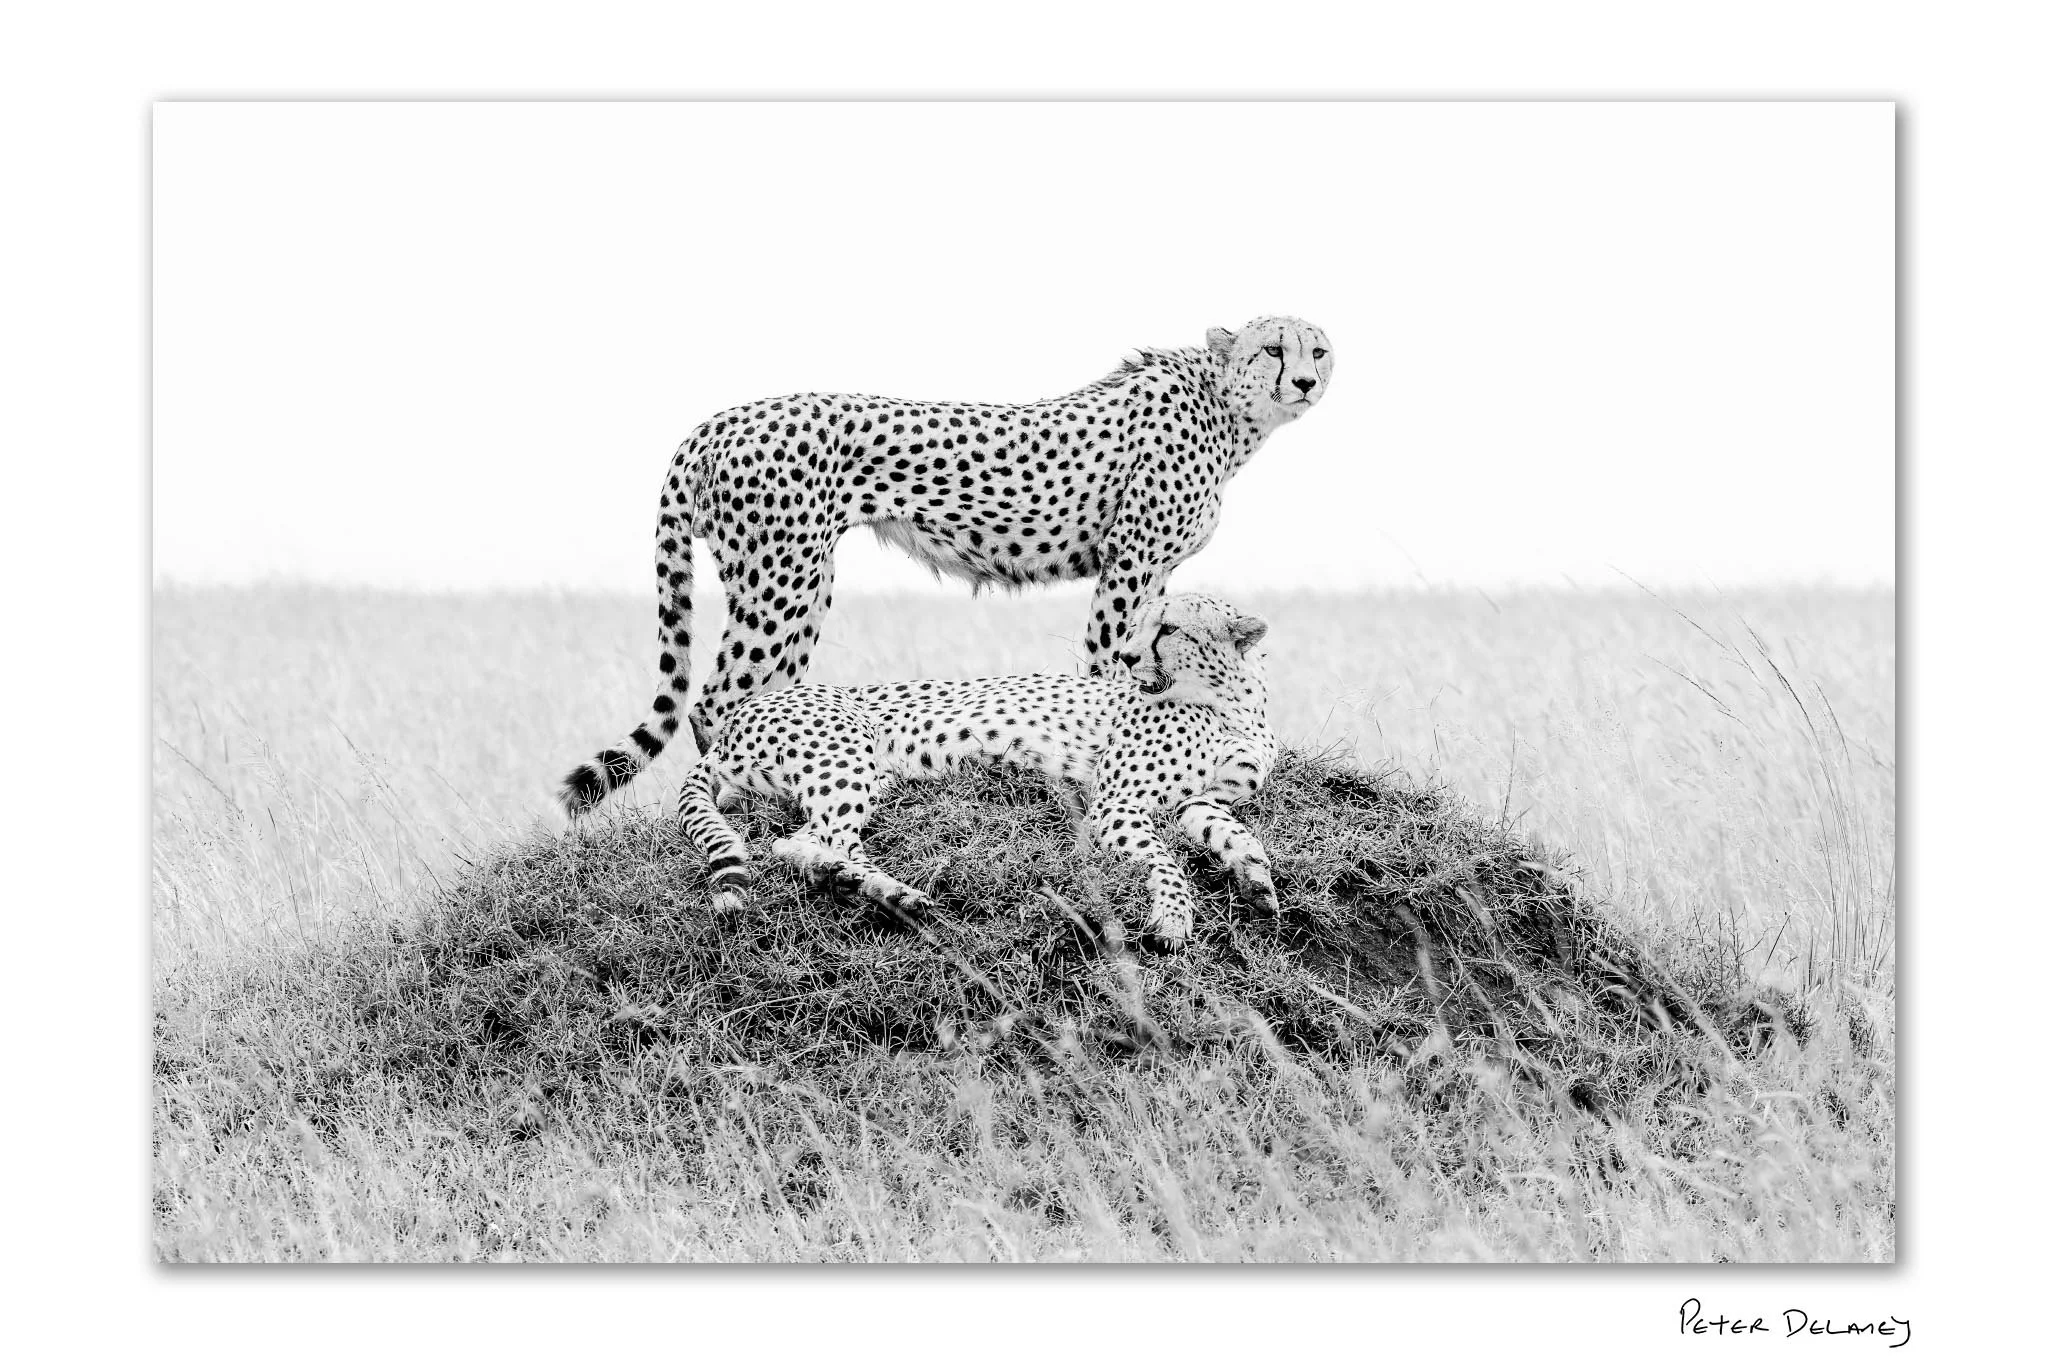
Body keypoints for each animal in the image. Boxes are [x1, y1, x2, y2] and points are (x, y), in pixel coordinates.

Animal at [560, 316, 1330, 815]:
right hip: (784, 576)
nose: (1304, 380)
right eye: (1273, 348)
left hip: (800, 581)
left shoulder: (1154, 572)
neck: (1225, 408)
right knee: (717, 698)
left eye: (1318, 349)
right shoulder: (1130, 564)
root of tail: (718, 419)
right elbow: (1111, 661)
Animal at [675, 592, 1280, 949]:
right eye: (1138, 626)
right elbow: (1167, 863)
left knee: (804, 842)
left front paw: (1256, 879)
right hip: (849, 755)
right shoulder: (1116, 803)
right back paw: (890, 891)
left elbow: (1236, 833)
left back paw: (855, 882)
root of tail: (735, 718)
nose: (1128, 659)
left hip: (872, 777)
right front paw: (1174, 919)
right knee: (815, 840)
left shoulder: (1202, 800)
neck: (1231, 701)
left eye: (1169, 628)